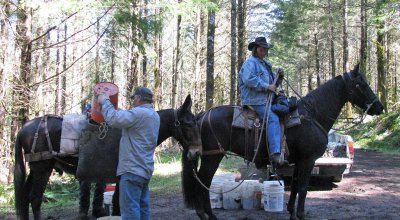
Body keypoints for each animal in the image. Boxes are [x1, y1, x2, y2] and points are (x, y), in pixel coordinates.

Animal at [14, 95, 202, 220]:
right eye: (188, 124)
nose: (196, 152)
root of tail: (25, 127)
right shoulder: (122, 177)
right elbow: (119, 203)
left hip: (36, 169)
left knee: (25, 197)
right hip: (42, 169)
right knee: (35, 198)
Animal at [180, 64, 384, 219]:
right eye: (360, 84)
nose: (379, 107)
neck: (312, 114)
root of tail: (201, 116)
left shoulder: (299, 161)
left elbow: (295, 185)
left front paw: (291, 211)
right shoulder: (308, 160)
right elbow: (303, 188)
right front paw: (300, 215)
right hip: (213, 156)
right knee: (203, 181)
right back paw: (206, 214)